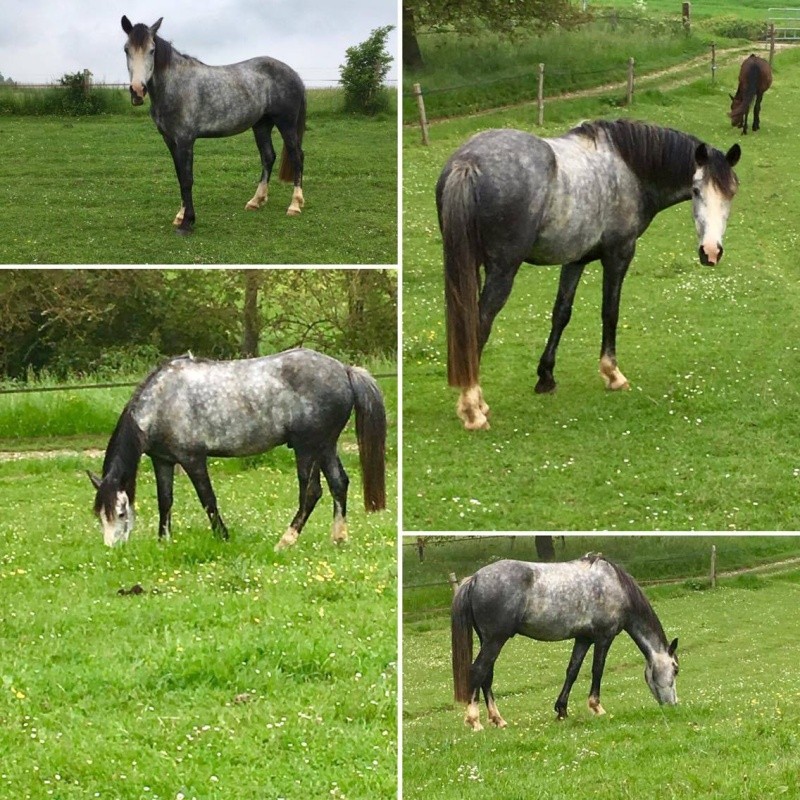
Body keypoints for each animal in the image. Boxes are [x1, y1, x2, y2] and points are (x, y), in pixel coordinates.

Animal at [88, 350, 388, 552]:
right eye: (100, 515)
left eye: (121, 513)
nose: (112, 549)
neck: (162, 401)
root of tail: (344, 370)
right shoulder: (163, 461)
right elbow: (165, 501)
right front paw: (164, 541)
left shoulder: (193, 459)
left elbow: (208, 499)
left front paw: (223, 536)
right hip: (325, 446)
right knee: (339, 483)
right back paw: (338, 538)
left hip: (307, 448)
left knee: (311, 492)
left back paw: (285, 541)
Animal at [122, 15, 306, 233]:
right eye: (126, 49)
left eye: (152, 50)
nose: (137, 90)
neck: (176, 85)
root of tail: (293, 73)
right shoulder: (170, 141)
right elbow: (179, 176)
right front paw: (180, 216)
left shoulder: (185, 141)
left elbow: (187, 179)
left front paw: (187, 222)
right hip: (262, 125)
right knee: (268, 157)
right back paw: (255, 201)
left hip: (286, 124)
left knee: (297, 157)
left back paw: (294, 205)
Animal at [438, 119, 744, 428]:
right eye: (696, 190)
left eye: (731, 193)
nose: (711, 252)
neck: (628, 166)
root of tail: (468, 162)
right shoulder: (618, 255)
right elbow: (610, 311)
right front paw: (613, 374)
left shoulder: (575, 260)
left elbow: (561, 313)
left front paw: (546, 377)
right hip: (502, 271)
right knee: (479, 325)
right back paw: (472, 409)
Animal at [454, 552, 680, 728]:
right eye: (676, 669)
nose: (674, 705)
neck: (615, 585)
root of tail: (475, 578)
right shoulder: (604, 637)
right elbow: (597, 669)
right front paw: (596, 707)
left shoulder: (583, 639)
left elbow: (572, 671)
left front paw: (561, 710)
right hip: (495, 640)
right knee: (478, 670)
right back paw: (474, 721)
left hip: (488, 640)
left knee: (487, 676)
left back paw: (498, 719)